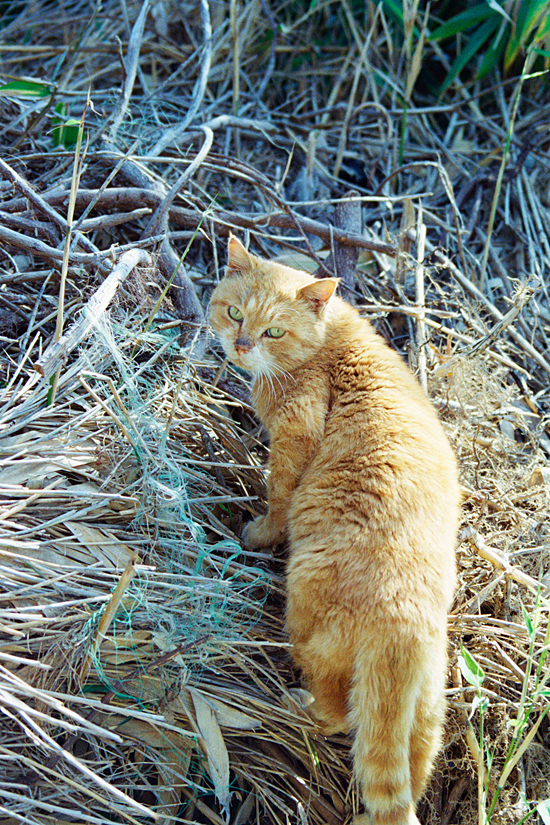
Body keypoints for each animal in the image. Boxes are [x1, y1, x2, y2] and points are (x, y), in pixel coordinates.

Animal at [211, 233, 462, 824]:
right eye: (234, 312)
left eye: (274, 331)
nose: (241, 344)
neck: (329, 341)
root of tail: (405, 624)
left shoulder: (295, 432)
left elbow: (278, 498)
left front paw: (258, 533)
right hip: (427, 705)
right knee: (409, 768)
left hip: (308, 622)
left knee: (336, 715)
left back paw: (292, 706)